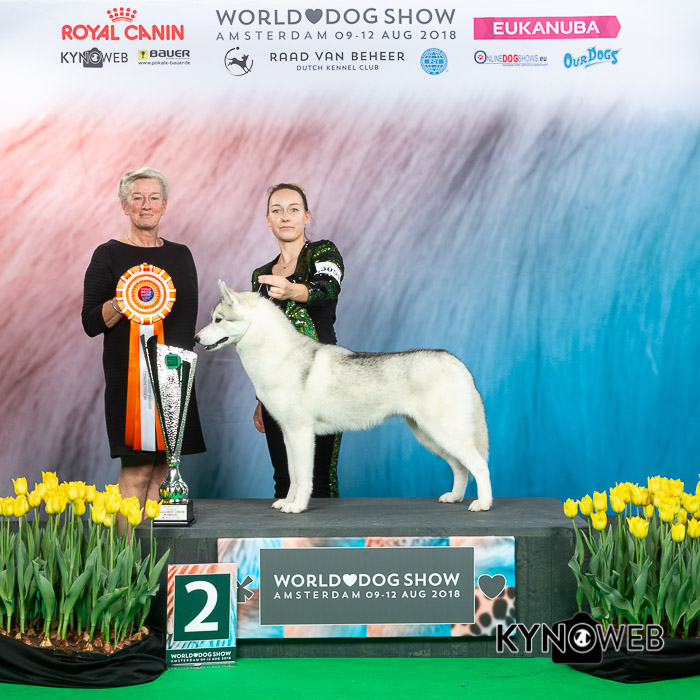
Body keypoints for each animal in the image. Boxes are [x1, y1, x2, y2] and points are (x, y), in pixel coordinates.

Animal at [195, 281, 492, 514]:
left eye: (218, 320)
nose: (196, 338)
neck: (278, 355)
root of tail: (457, 362)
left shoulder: (302, 433)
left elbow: (303, 477)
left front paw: (298, 506)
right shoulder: (287, 434)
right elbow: (292, 475)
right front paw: (287, 502)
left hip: (445, 432)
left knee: (479, 465)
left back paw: (483, 503)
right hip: (429, 435)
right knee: (461, 468)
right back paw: (455, 497)